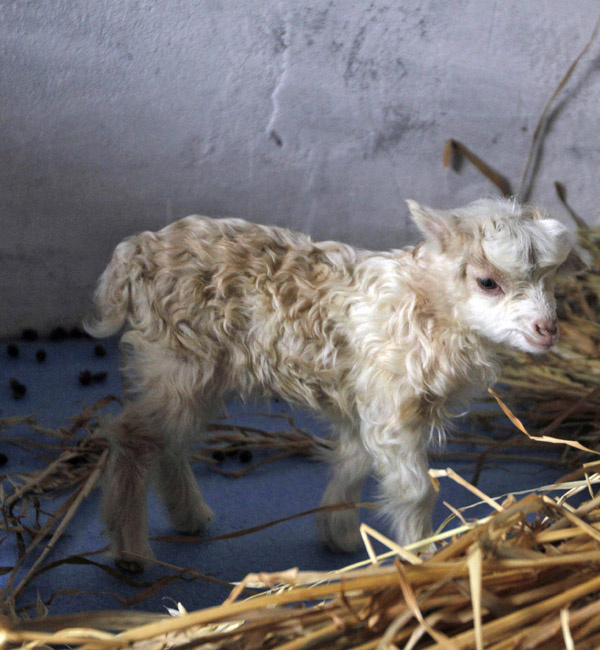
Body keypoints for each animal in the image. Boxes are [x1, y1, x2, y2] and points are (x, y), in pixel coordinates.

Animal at [85, 196, 584, 568]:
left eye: (549, 278)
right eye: (487, 282)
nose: (547, 330)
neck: (423, 305)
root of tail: (135, 254)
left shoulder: (364, 401)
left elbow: (353, 459)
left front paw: (337, 532)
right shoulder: (390, 403)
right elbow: (415, 491)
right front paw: (420, 556)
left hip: (194, 373)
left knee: (170, 440)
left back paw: (188, 516)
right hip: (176, 362)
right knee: (135, 437)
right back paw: (132, 552)